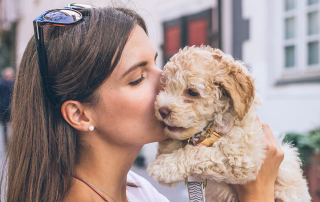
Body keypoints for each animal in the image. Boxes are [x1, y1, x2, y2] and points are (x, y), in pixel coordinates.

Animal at [148, 45, 310, 202]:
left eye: (192, 92)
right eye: (164, 87)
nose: (162, 110)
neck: (212, 129)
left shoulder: (241, 158)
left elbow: (198, 153)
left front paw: (162, 166)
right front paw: (167, 147)